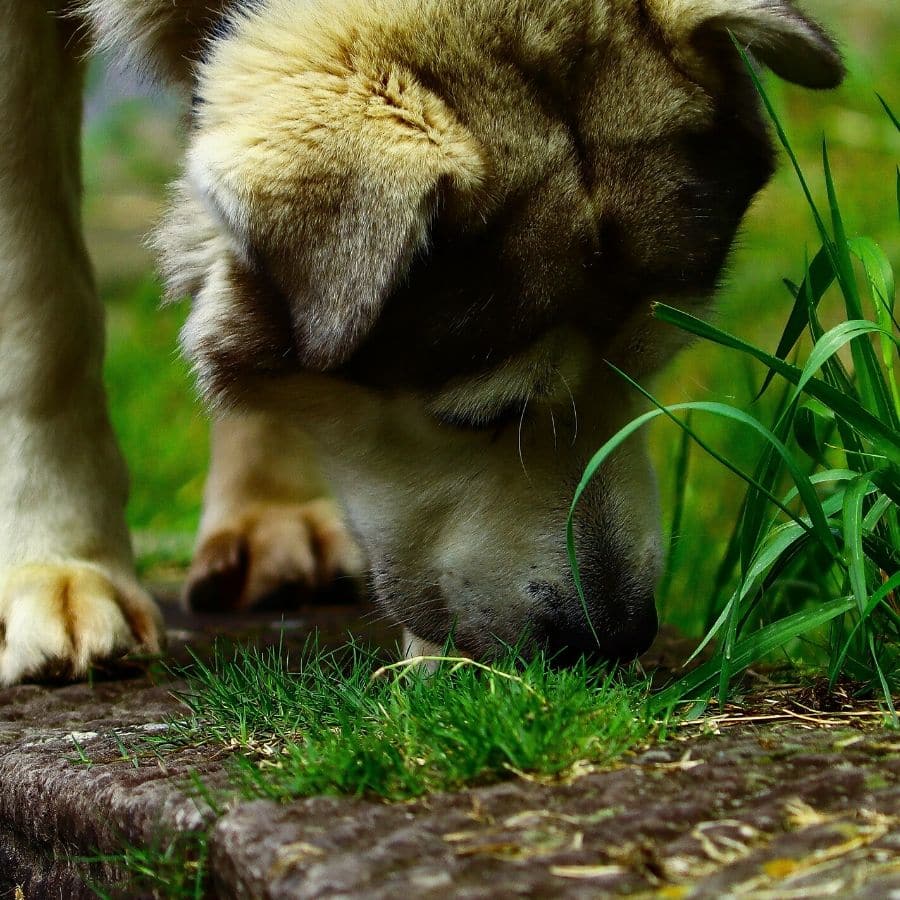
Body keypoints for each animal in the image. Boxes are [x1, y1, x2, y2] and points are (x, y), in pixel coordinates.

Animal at [0, 0, 844, 684]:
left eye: (650, 371)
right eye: (480, 415)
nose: (615, 636)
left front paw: (273, 499)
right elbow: (38, 311)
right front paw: (56, 566)